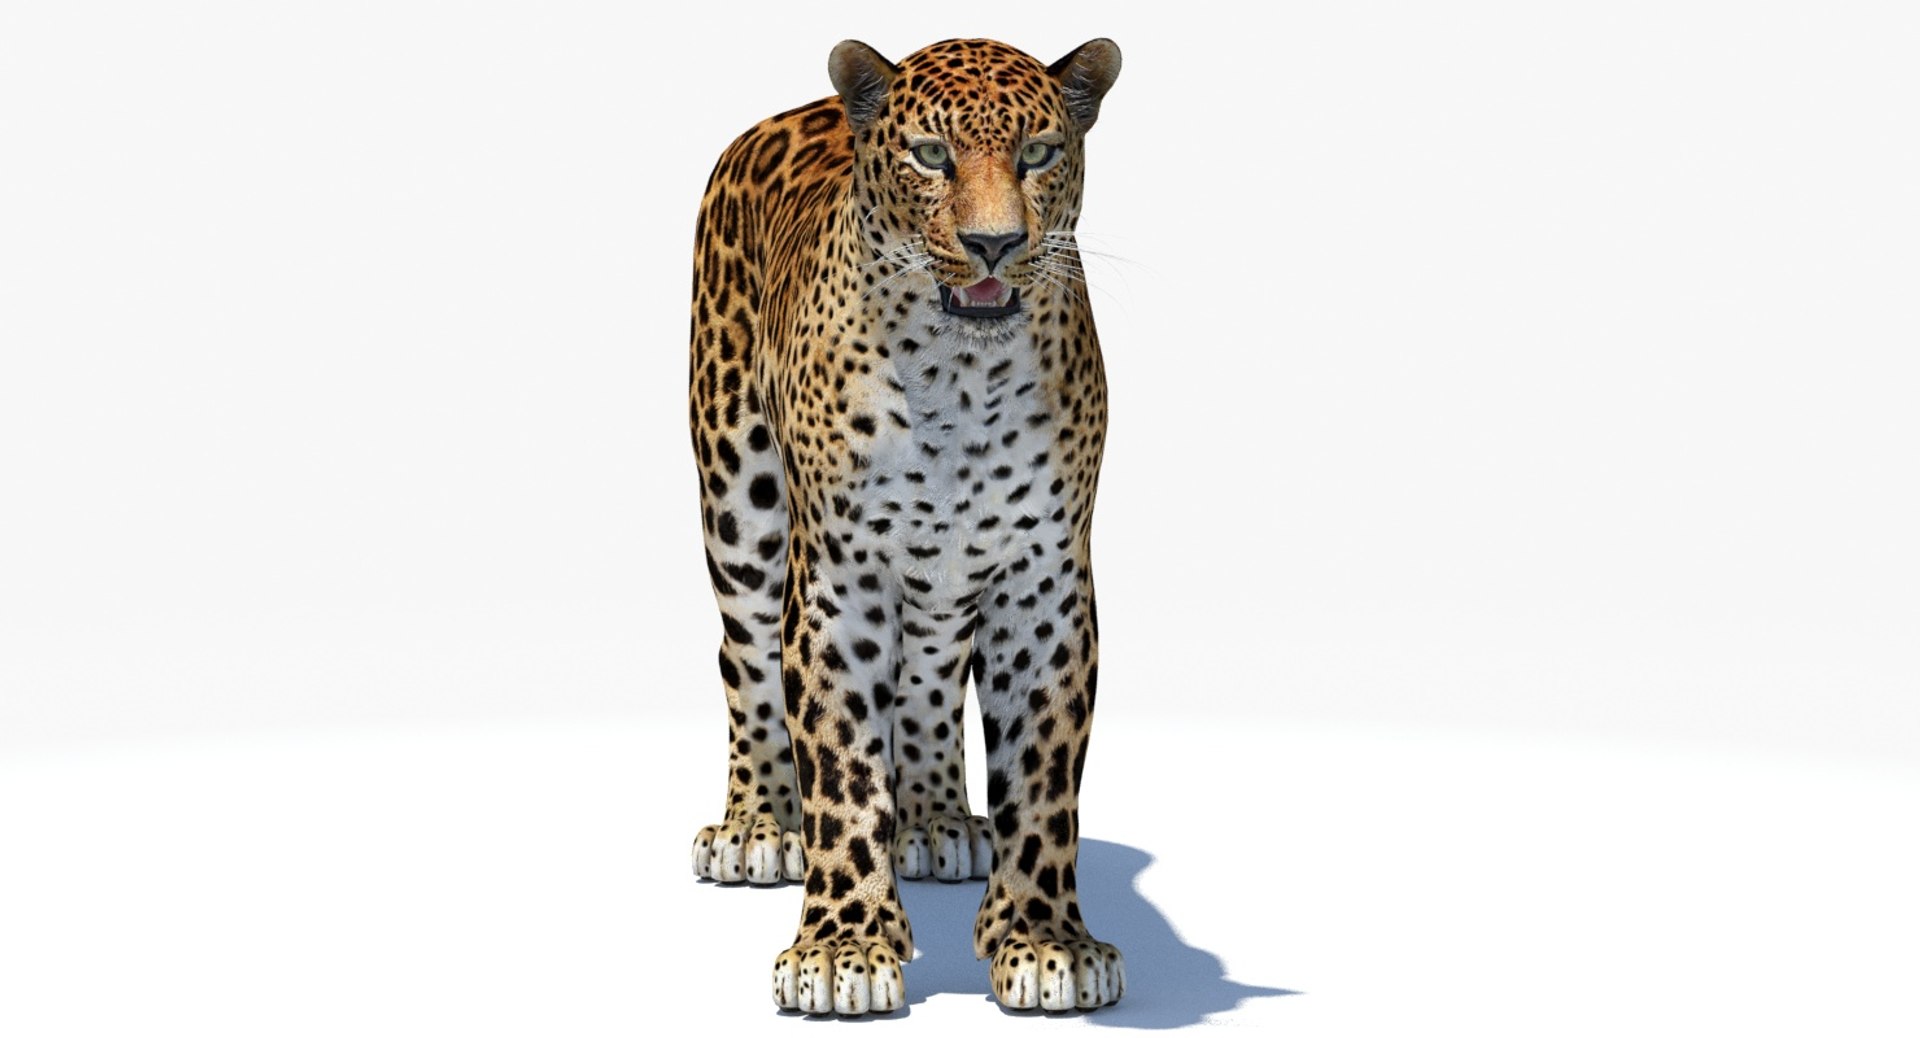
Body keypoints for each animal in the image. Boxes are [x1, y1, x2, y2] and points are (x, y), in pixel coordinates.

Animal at [685, 37, 1124, 1016]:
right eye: (930, 156)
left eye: (1039, 154)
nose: (994, 243)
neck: (963, 381)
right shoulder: (837, 582)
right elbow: (842, 767)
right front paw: (842, 948)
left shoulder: (1043, 584)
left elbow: (1043, 775)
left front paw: (1048, 940)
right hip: (740, 500)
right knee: (745, 660)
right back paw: (755, 823)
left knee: (926, 677)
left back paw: (932, 816)